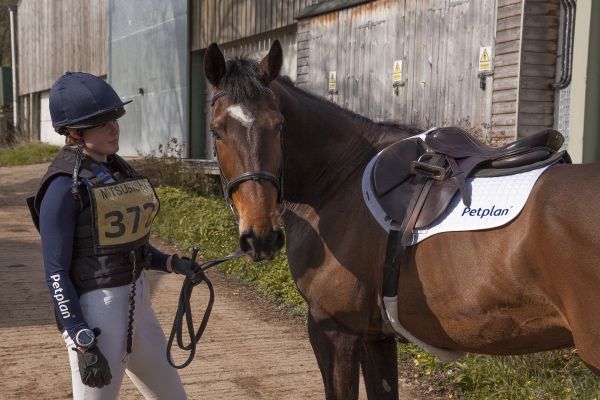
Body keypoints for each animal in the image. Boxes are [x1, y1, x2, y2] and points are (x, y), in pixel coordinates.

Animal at [203, 39, 600, 398]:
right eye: (216, 130)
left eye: (279, 126)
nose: (260, 236)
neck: (338, 178)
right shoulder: (375, 335)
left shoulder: (334, 328)